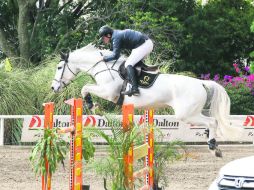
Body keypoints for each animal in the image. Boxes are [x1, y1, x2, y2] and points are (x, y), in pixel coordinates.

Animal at [51, 43, 242, 157]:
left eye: (59, 67)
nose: (53, 88)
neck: (104, 67)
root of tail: (201, 82)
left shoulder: (108, 92)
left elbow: (85, 88)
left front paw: (93, 106)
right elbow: (86, 87)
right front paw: (93, 106)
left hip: (186, 114)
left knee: (212, 122)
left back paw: (213, 147)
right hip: (194, 112)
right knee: (212, 121)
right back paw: (214, 145)